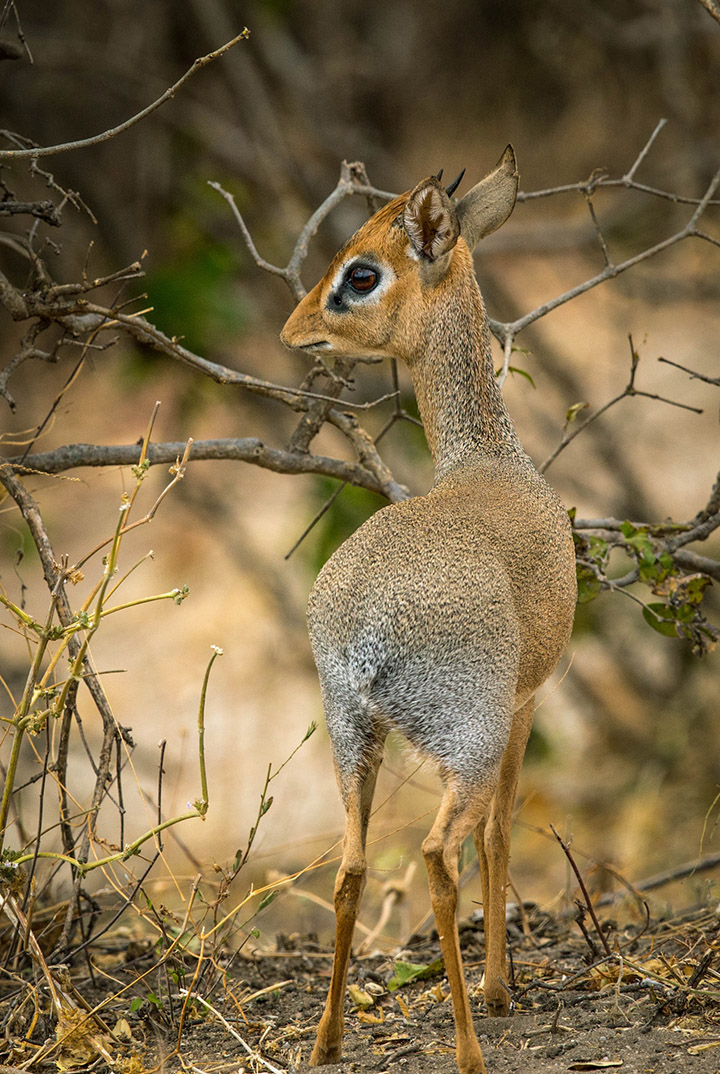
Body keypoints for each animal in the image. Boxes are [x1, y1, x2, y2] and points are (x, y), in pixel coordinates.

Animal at [281, 149, 576, 1074]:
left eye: (361, 272)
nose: (293, 331)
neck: (490, 461)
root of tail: (370, 633)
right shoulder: (526, 702)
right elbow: (501, 838)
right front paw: (501, 988)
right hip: (465, 742)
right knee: (441, 852)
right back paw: (471, 1046)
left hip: (352, 737)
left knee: (349, 867)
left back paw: (328, 1041)